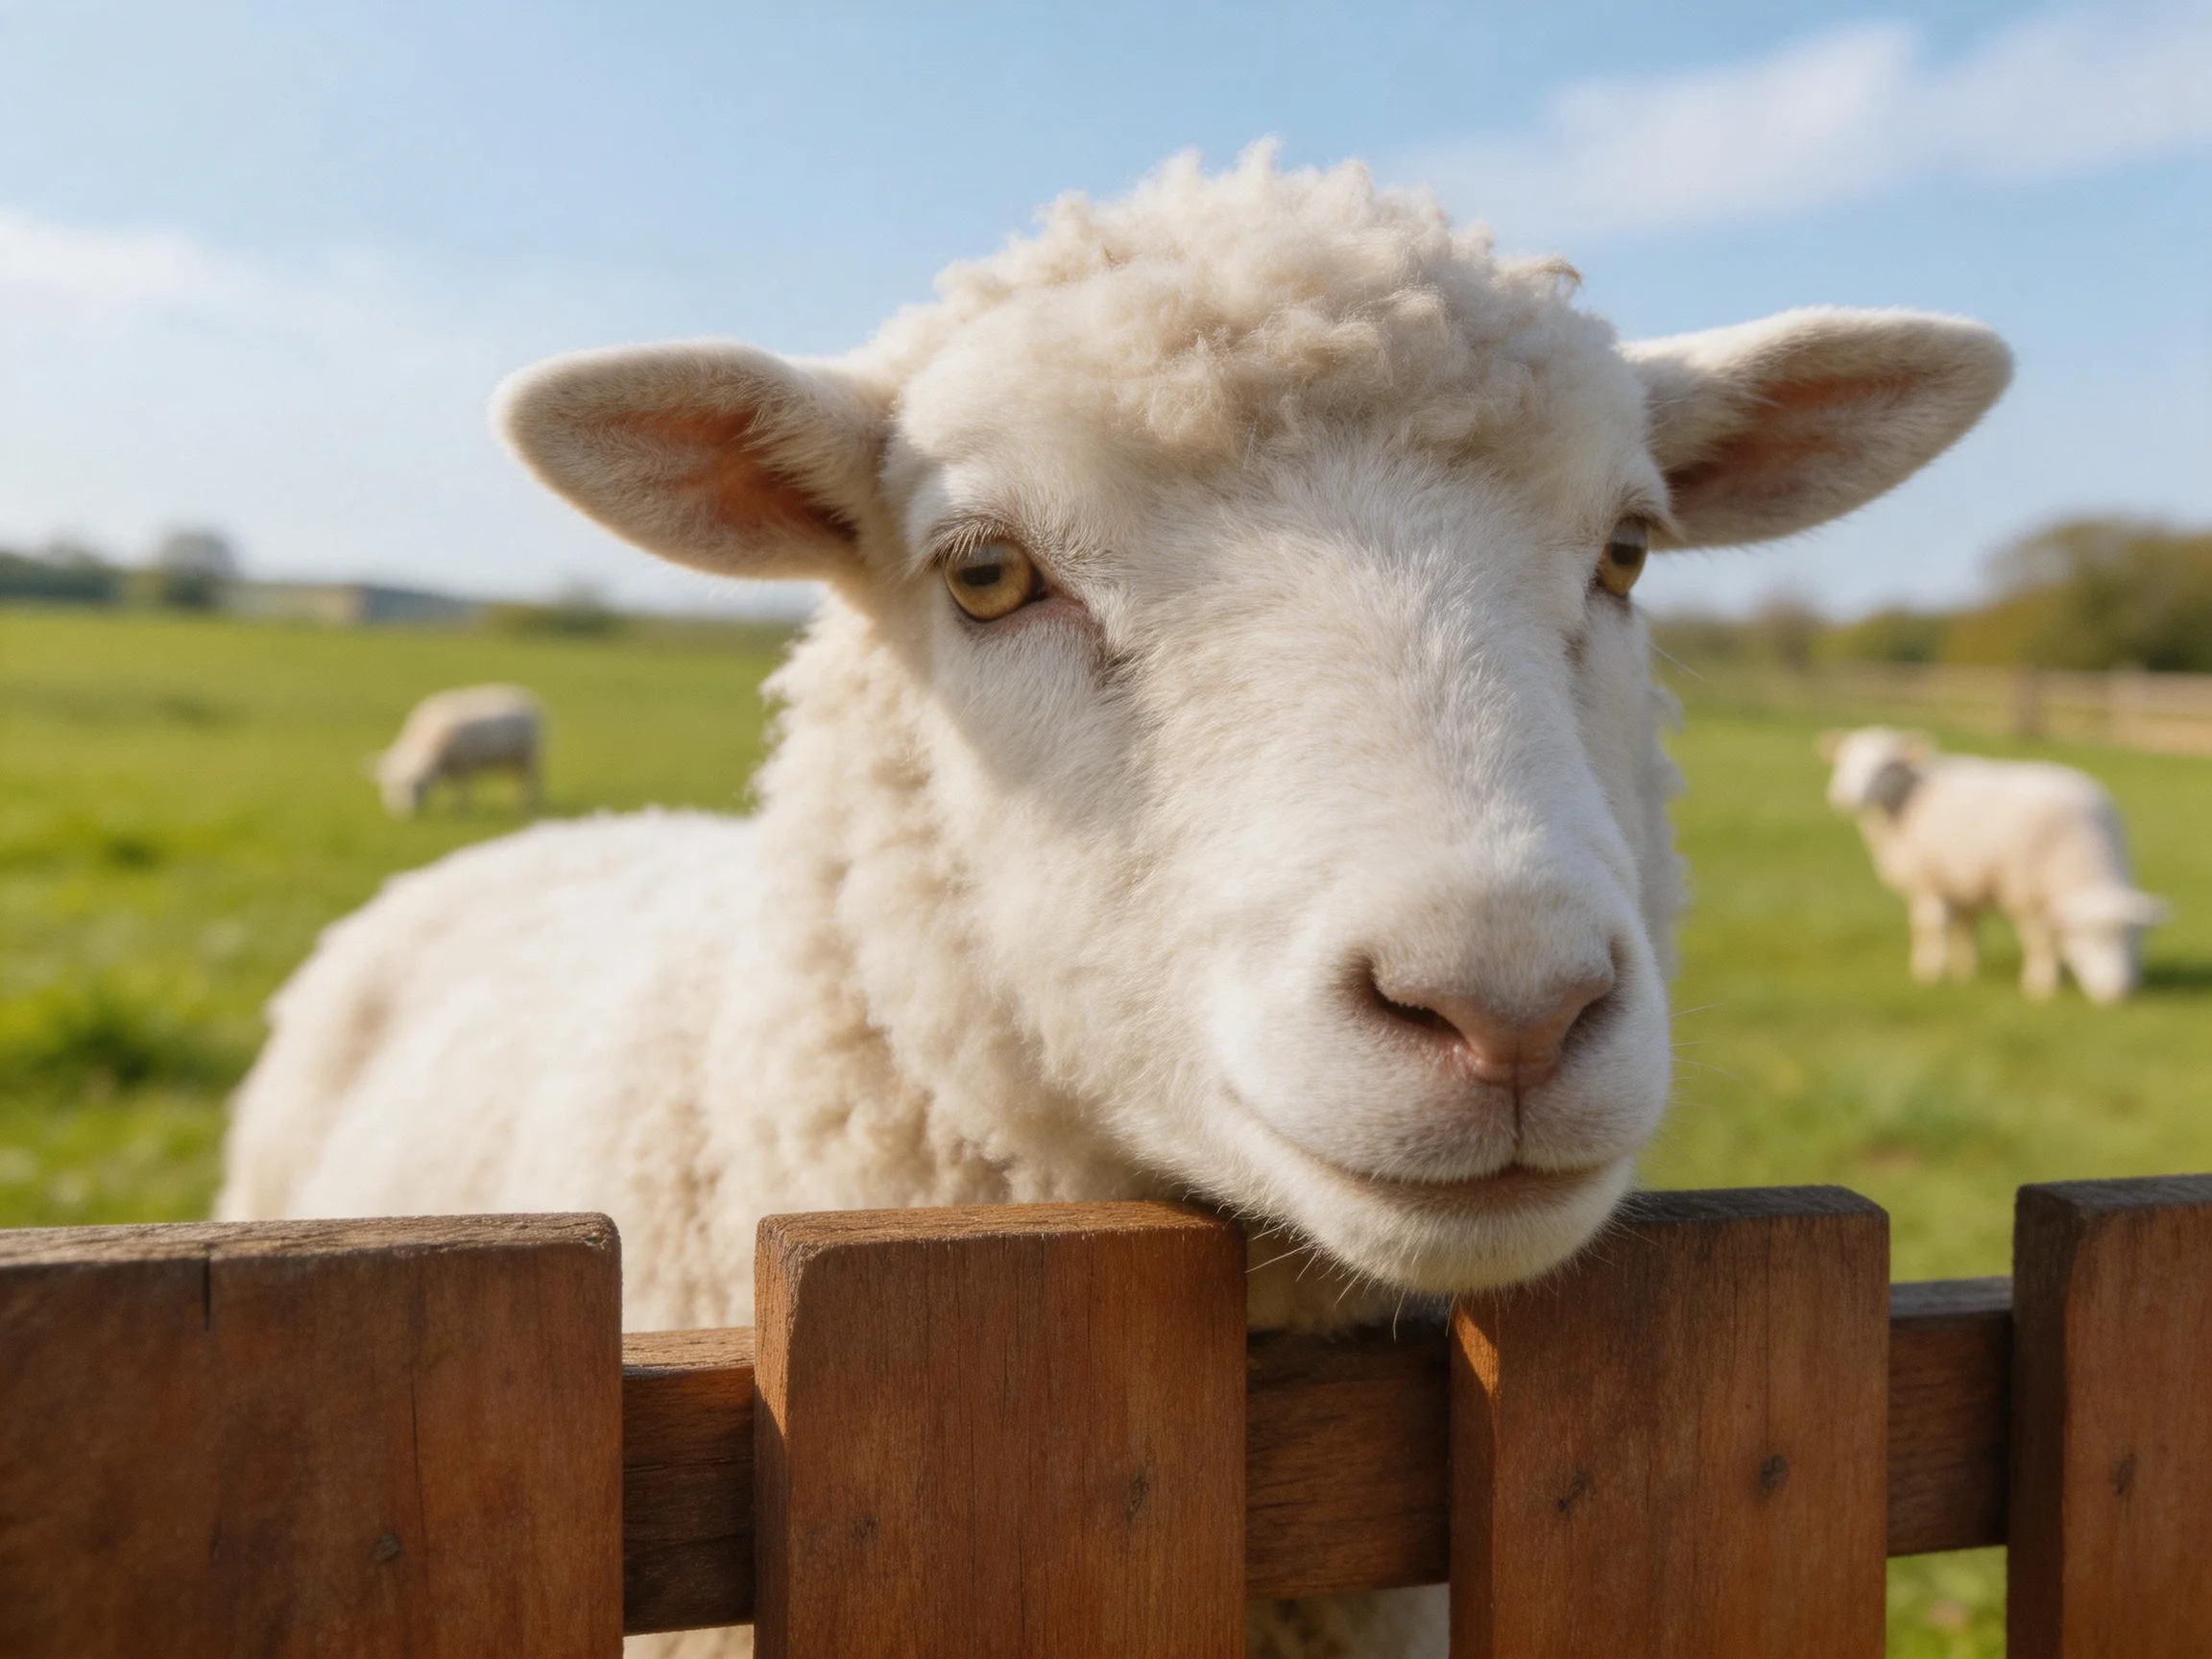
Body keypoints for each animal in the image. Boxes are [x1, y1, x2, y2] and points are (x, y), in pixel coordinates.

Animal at [371, 683, 542, 817]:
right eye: (389, 785)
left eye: (419, 786)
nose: (405, 815)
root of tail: (529, 697)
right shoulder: (450, 767)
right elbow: (450, 788)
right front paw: (452, 806)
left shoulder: (464, 763)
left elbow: (462, 788)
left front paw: (464, 808)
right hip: (512, 759)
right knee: (516, 781)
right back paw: (515, 801)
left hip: (531, 757)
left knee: (533, 781)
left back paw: (530, 805)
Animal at [1821, 725, 2168, 1002]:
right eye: (1846, 761)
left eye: (1887, 765)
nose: (2119, 991)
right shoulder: (1946, 881)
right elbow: (1948, 929)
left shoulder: (1973, 884)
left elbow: (1978, 931)